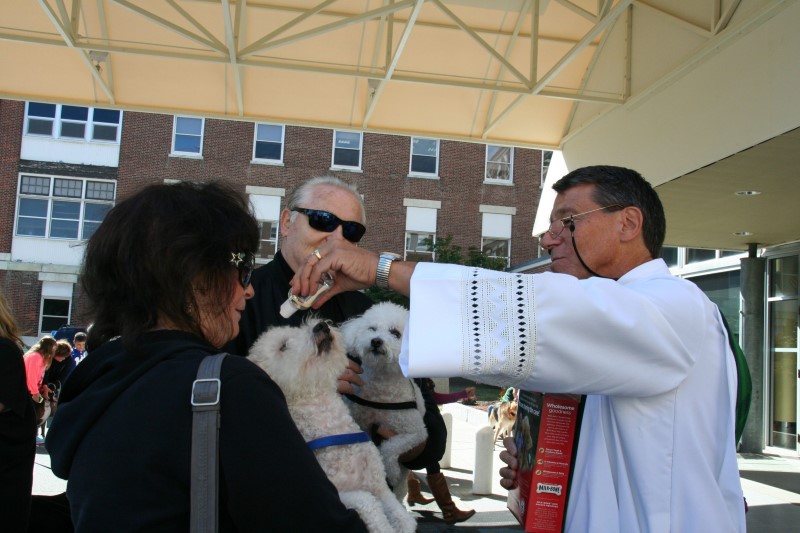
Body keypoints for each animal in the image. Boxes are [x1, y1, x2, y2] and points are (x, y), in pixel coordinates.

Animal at [247, 318, 416, 528]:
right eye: (283, 346)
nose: (321, 326)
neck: (332, 427)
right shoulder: (341, 495)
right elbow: (369, 503)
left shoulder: (380, 486)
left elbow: (403, 517)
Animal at [340, 302, 428, 500]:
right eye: (372, 329)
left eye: (395, 333)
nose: (376, 341)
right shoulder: (363, 425)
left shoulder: (416, 433)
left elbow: (390, 447)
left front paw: (392, 472)